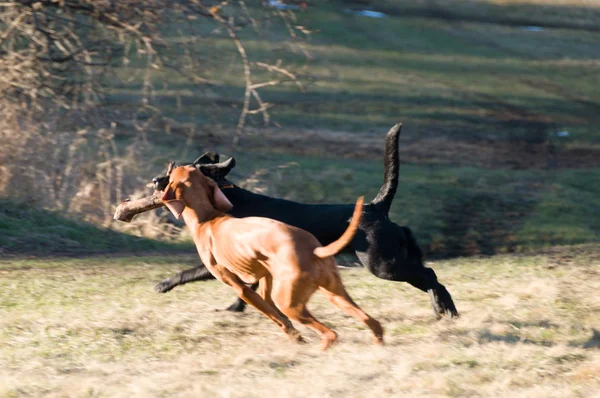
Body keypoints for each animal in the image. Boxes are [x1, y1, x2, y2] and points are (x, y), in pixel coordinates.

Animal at [152, 123, 458, 318]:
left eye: (178, 176)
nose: (155, 180)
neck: (228, 201)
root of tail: (376, 207)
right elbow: (249, 291)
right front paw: (236, 310)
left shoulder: (223, 261)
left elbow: (191, 272)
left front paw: (163, 284)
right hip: (395, 258)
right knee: (428, 273)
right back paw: (441, 309)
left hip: (383, 264)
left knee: (430, 275)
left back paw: (448, 309)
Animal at [162, 165, 382, 348]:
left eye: (172, 174)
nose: (158, 179)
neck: (208, 219)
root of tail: (313, 249)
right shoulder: (265, 279)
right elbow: (272, 308)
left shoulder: (241, 288)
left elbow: (276, 317)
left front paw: (295, 337)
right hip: (334, 293)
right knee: (373, 322)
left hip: (290, 302)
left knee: (331, 334)